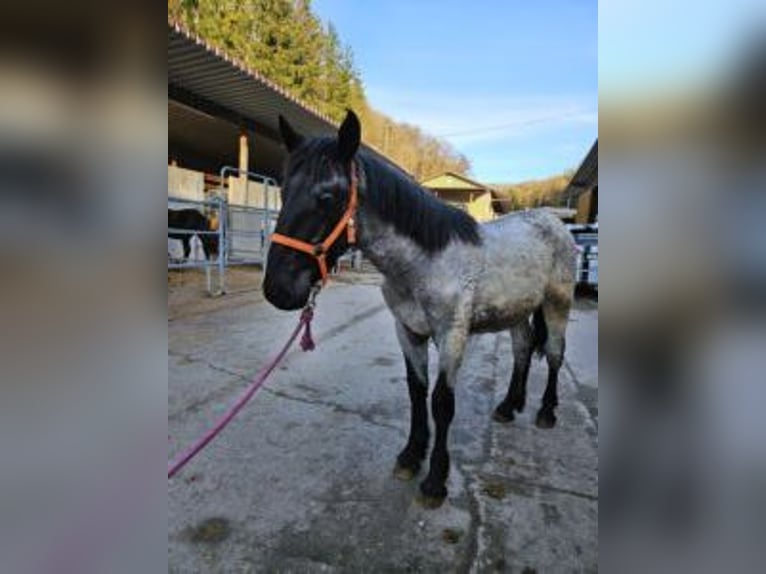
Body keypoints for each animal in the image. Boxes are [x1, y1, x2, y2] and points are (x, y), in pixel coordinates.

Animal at [264, 111, 576, 508]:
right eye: (284, 191)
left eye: (327, 196)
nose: (277, 289)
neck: (425, 261)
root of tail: (555, 223)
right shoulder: (408, 331)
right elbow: (417, 391)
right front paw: (411, 456)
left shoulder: (451, 335)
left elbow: (442, 402)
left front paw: (435, 480)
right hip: (518, 311)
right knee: (522, 350)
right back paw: (509, 406)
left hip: (557, 304)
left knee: (553, 354)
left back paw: (547, 412)